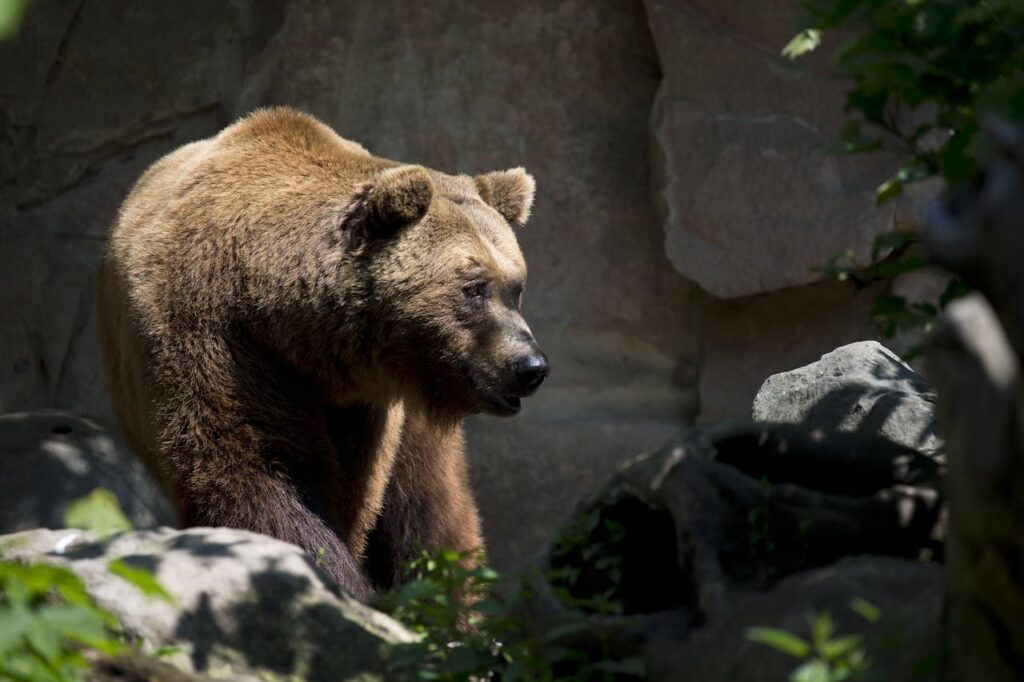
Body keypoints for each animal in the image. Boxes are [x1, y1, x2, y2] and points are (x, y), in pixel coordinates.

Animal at [96, 107, 549, 598]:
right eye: (474, 287)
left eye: (516, 287)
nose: (530, 367)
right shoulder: (218, 338)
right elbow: (260, 472)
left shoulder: (368, 408)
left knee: (431, 508)